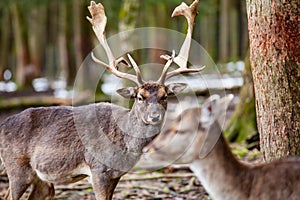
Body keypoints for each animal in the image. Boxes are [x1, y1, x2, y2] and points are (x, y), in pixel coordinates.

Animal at [0, 0, 204, 199]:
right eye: (140, 97)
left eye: (165, 96)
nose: (155, 116)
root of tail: (3, 124)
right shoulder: (97, 169)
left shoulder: (115, 175)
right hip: (17, 167)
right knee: (9, 194)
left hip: (39, 177)